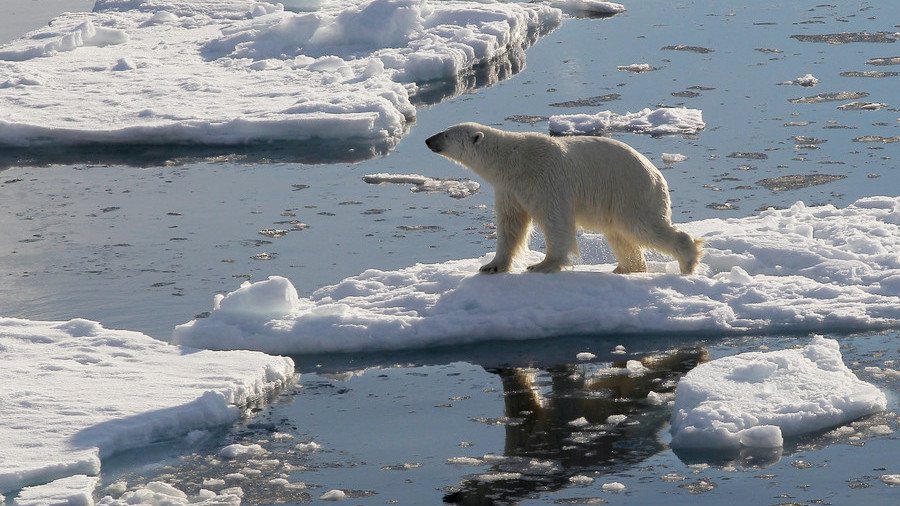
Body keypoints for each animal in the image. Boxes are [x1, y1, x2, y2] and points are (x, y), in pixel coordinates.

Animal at [428, 121, 704, 272]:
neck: (513, 161)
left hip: (631, 192)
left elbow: (555, 221)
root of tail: (657, 174)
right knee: (619, 235)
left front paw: (542, 264)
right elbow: (510, 225)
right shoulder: (509, 190)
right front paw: (492, 265)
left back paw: (688, 260)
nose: (428, 139)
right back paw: (625, 268)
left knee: (644, 227)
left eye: (446, 134)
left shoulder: (545, 180)